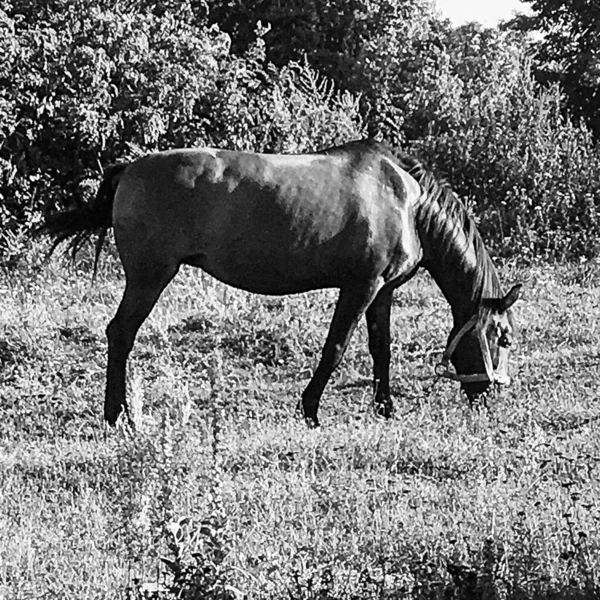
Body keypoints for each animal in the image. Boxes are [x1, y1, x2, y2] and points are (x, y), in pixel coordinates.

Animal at [43, 139, 520, 426]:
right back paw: (116, 414)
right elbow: (335, 347)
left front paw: (386, 407)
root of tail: (129, 169)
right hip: (149, 276)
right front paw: (310, 410)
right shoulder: (360, 286)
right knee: (120, 333)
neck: (407, 199)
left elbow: (380, 349)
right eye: (504, 337)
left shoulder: (383, 291)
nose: (489, 398)